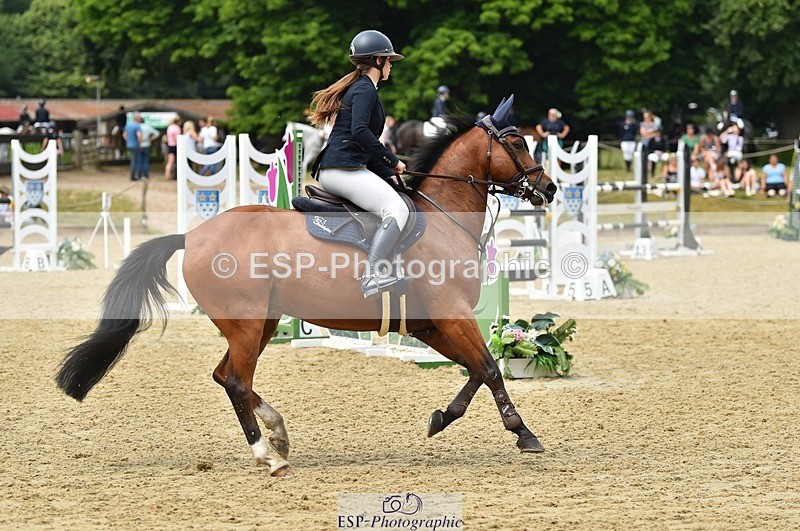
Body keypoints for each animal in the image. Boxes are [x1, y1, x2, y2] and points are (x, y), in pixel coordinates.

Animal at [55, 96, 557, 477]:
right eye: (517, 142)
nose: (549, 188)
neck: (443, 215)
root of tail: (193, 236)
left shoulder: (431, 326)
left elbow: (475, 370)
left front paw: (441, 419)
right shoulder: (451, 315)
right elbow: (490, 368)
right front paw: (524, 433)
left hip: (261, 322)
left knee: (226, 376)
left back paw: (278, 434)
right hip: (246, 324)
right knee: (235, 381)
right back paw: (268, 456)